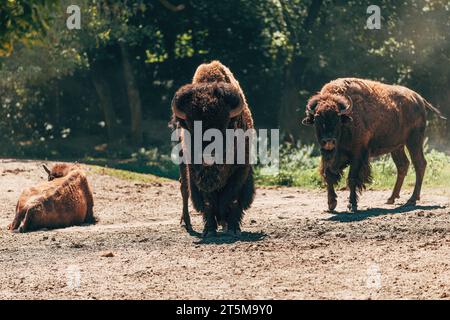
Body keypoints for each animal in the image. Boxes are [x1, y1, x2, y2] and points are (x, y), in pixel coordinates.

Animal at [171, 60, 255, 238]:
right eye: (190, 126)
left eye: (225, 124)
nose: (208, 156)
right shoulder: (196, 175)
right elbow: (208, 201)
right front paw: (209, 230)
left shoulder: (241, 170)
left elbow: (232, 198)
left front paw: (233, 228)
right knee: (184, 189)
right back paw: (187, 223)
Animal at [302, 77, 446, 212]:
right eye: (317, 118)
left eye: (337, 118)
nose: (328, 141)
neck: (347, 120)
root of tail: (419, 99)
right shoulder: (328, 156)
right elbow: (328, 175)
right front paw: (331, 204)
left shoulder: (357, 154)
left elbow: (352, 178)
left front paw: (352, 205)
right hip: (397, 147)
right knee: (403, 165)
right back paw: (391, 198)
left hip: (414, 141)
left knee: (419, 164)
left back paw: (411, 200)